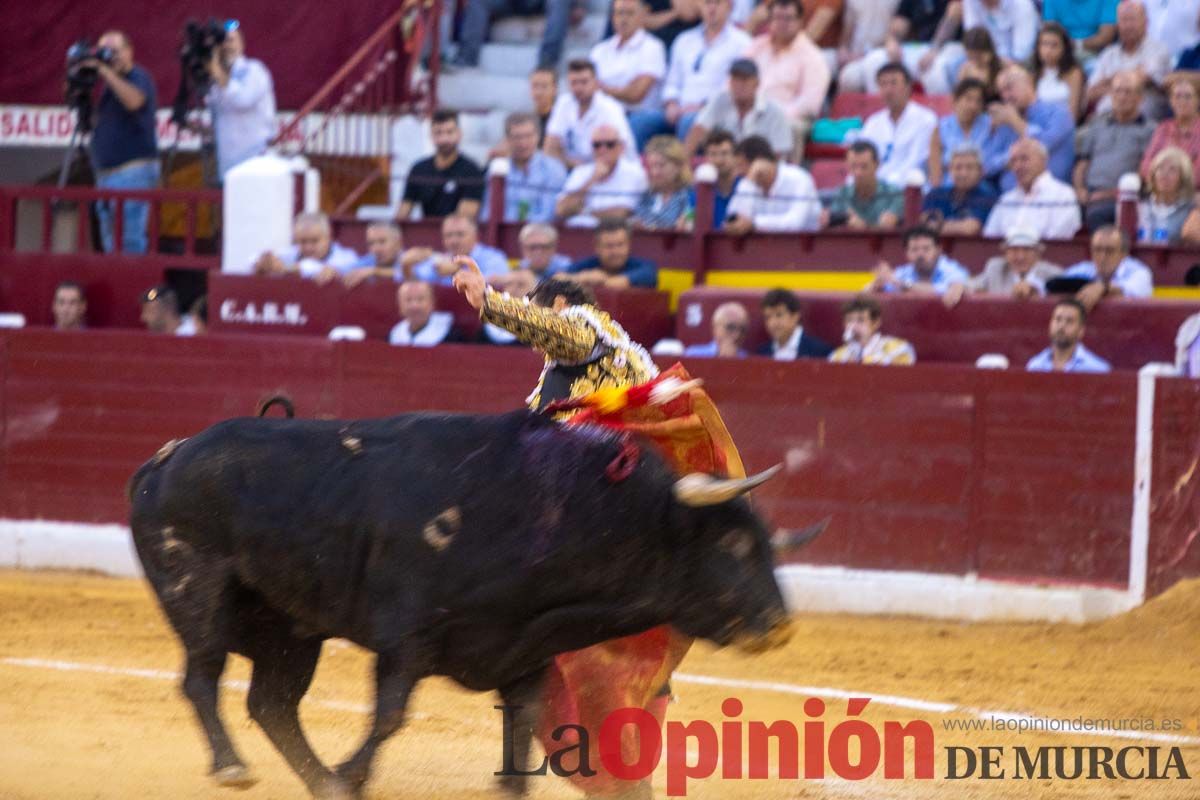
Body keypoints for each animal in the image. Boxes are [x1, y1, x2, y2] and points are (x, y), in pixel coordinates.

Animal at [126, 410, 801, 796]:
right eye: (734, 542)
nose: (780, 626)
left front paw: (510, 789)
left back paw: (318, 780)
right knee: (202, 679)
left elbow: (523, 718)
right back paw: (235, 768)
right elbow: (391, 714)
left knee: (272, 703)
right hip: (199, 590)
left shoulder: (527, 649)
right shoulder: (407, 638)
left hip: (290, 627)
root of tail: (165, 458)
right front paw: (354, 775)